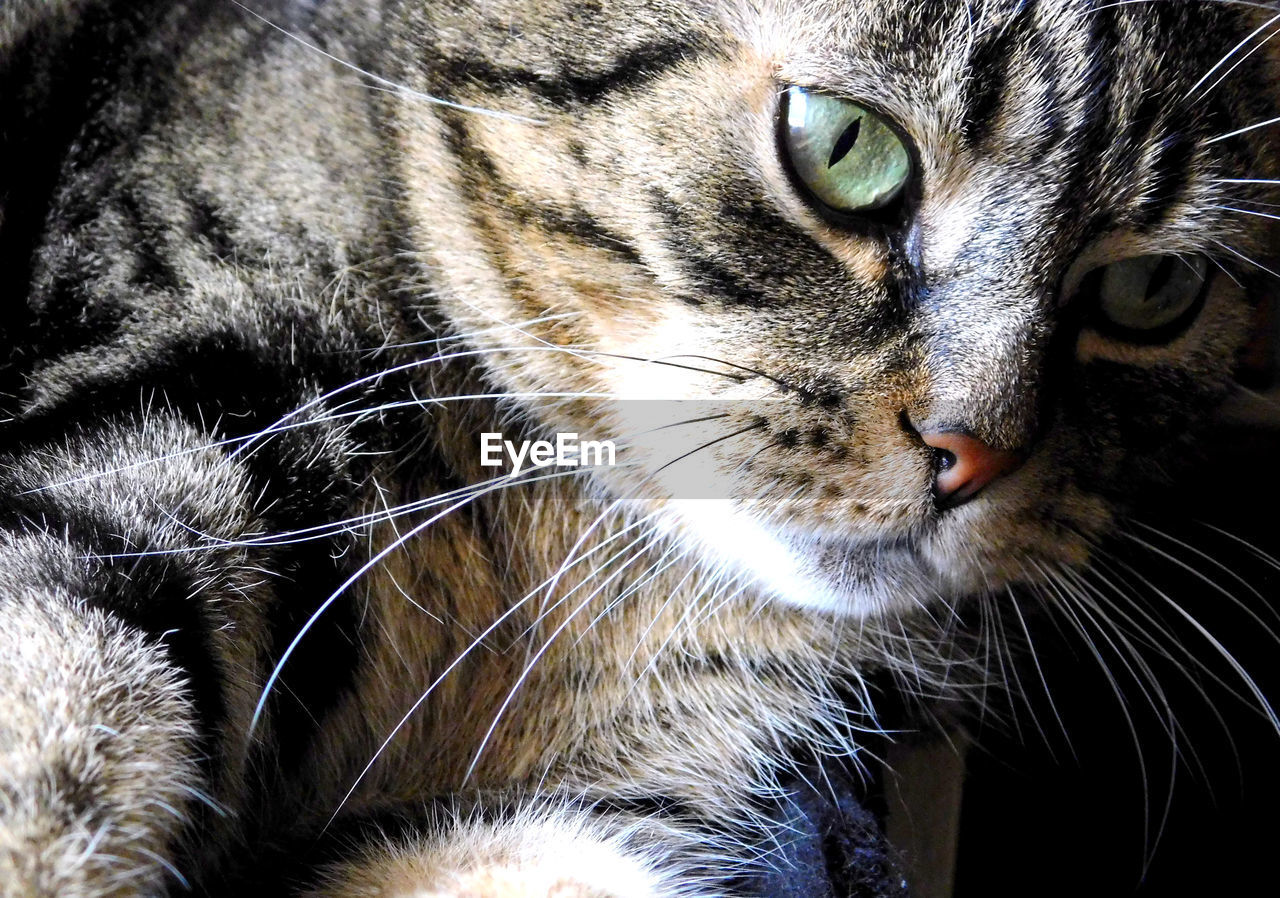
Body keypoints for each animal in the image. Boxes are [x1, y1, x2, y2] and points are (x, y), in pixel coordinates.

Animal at [2, 0, 1280, 895]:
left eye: (1153, 289)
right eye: (843, 147)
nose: (971, 449)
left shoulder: (633, 791)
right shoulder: (169, 408)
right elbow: (57, 695)